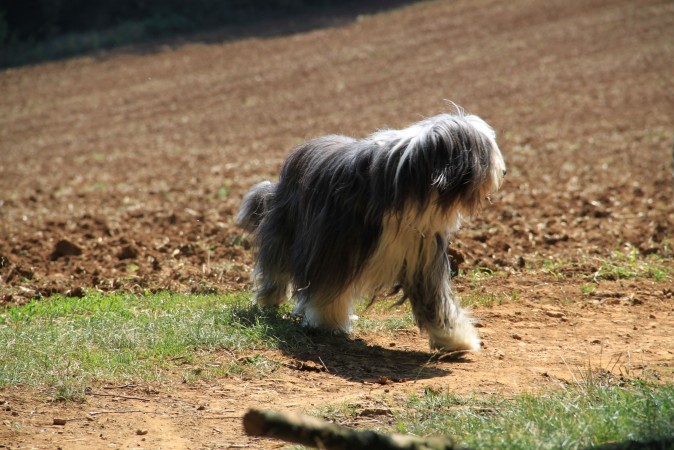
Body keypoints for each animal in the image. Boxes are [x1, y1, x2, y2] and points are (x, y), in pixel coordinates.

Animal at [236, 111, 504, 352]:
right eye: (486, 154)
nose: (504, 172)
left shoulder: (422, 256)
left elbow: (436, 302)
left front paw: (455, 339)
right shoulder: (333, 246)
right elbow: (327, 287)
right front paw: (328, 322)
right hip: (286, 226)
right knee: (277, 265)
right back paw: (270, 299)